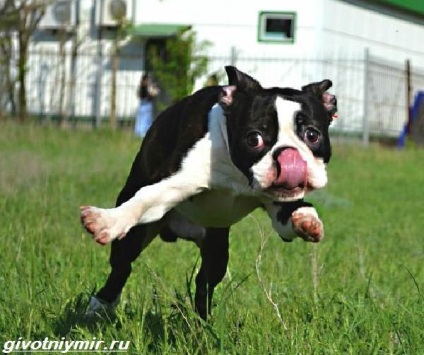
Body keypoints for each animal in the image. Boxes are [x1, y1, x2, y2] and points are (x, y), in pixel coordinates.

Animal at [80, 66, 338, 320]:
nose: (288, 154)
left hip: (216, 247)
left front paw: (306, 220)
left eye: (313, 135)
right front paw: (106, 220)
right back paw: (100, 305)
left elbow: (290, 216)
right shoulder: (173, 182)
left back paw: (202, 322)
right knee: (122, 267)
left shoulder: (281, 204)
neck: (237, 173)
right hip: (136, 235)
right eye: (254, 138)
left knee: (205, 280)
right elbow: (145, 199)